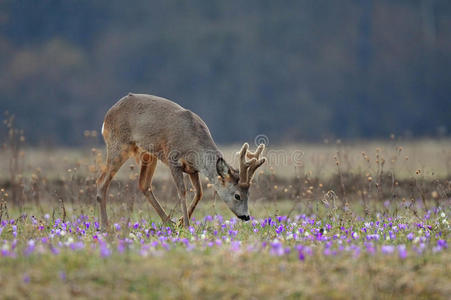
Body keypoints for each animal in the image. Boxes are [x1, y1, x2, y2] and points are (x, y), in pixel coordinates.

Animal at [95, 92, 264, 229]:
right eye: (237, 195)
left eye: (249, 193)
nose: (246, 216)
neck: (193, 143)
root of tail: (106, 117)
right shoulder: (173, 159)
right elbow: (182, 191)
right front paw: (187, 225)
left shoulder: (192, 169)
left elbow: (199, 193)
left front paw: (182, 221)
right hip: (119, 145)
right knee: (102, 181)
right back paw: (105, 226)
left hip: (148, 155)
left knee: (143, 184)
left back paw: (169, 222)